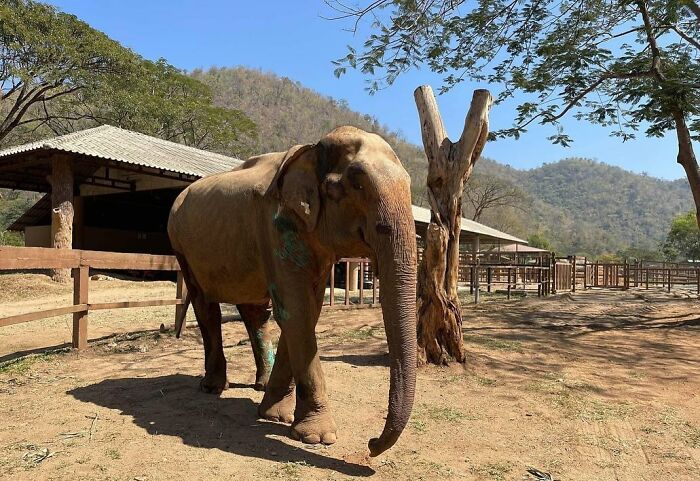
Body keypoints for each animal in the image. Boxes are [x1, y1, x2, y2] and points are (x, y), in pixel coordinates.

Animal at [167, 125, 416, 456]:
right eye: (358, 184)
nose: (371, 444)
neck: (311, 150)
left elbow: (308, 311)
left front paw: (274, 416)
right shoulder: (275, 226)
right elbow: (296, 311)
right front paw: (317, 437)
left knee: (255, 312)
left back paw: (259, 384)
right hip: (180, 246)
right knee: (206, 307)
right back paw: (212, 387)